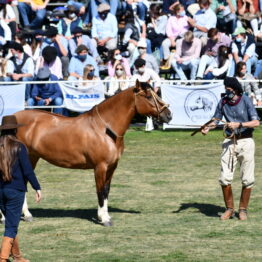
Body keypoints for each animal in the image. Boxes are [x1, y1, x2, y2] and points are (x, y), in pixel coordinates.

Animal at [12, 81, 172, 226]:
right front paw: (104, 219)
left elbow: (106, 191)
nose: (168, 115)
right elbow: (100, 191)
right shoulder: (100, 167)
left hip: (32, 158)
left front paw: (104, 215)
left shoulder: (112, 167)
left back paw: (26, 214)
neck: (104, 129)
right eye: (148, 96)